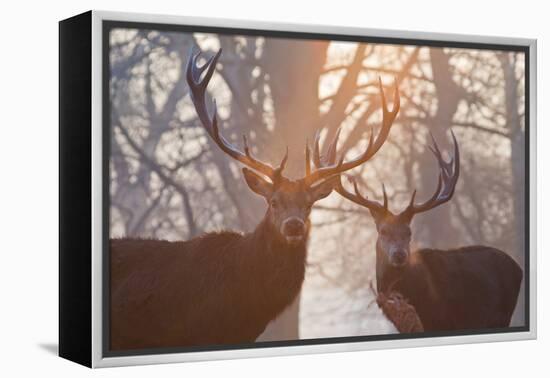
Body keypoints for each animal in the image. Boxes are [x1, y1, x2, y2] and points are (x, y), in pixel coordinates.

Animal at [316, 131, 524, 332]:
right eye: (383, 231)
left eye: (409, 232)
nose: (399, 254)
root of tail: (518, 267)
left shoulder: (444, 319)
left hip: (502, 314)